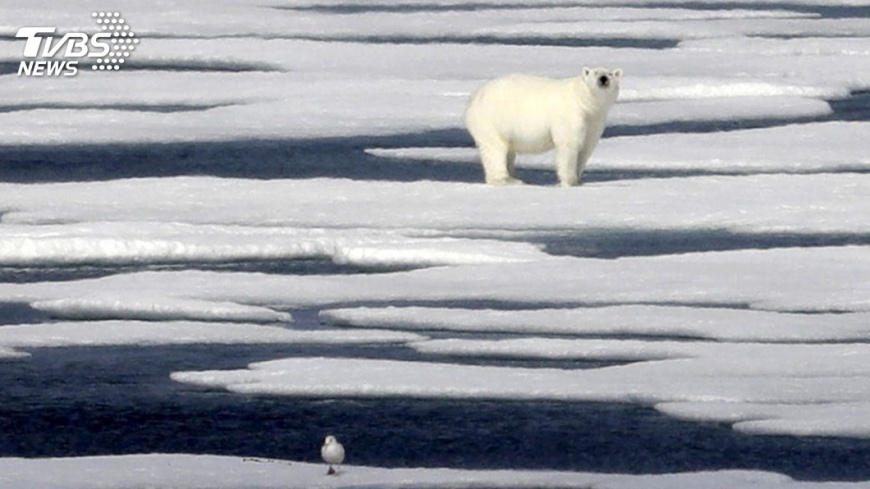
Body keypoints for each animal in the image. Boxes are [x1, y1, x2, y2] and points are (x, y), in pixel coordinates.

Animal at [465, 67, 622, 186]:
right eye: (596, 72)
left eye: (610, 74)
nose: (603, 79)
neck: (583, 102)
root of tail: (474, 99)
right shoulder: (569, 116)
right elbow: (569, 145)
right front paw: (570, 181)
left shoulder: (594, 121)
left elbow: (586, 148)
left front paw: (579, 179)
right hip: (492, 120)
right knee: (496, 148)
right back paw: (508, 180)